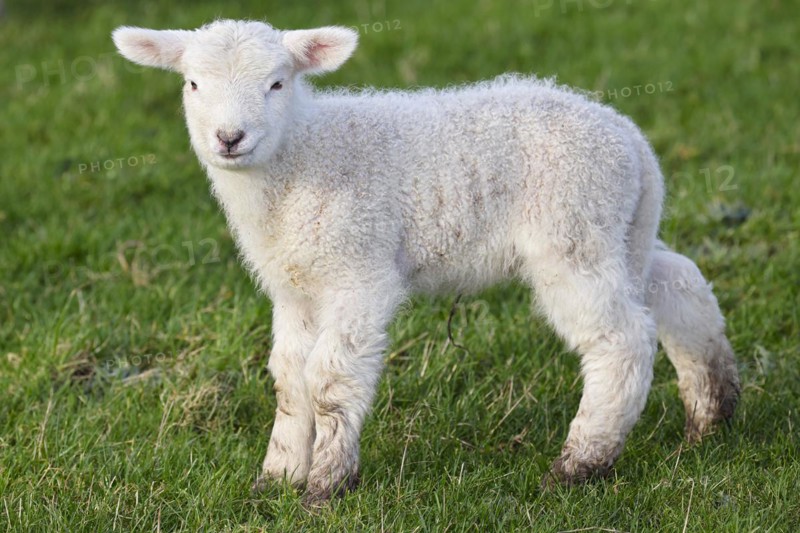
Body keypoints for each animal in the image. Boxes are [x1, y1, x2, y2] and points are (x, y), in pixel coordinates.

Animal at [113, 19, 740, 505]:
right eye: (193, 83)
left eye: (276, 82)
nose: (229, 137)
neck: (302, 156)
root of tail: (631, 140)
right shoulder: (296, 287)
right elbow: (289, 380)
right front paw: (278, 477)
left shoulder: (359, 271)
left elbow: (328, 380)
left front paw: (326, 486)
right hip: (622, 232)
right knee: (679, 283)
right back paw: (711, 416)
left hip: (572, 234)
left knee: (622, 338)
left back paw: (580, 464)